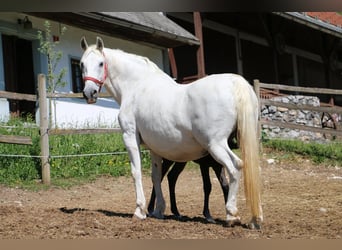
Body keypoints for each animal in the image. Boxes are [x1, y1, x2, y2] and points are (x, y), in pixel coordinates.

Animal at [81, 36, 264, 229]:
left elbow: (136, 172)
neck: (136, 87)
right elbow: (156, 176)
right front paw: (158, 210)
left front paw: (139, 210)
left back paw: (231, 215)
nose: (89, 93)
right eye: (82, 64)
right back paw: (255, 219)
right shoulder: (154, 147)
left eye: (101, 63)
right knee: (252, 170)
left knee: (235, 167)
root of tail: (236, 83)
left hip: (216, 145)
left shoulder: (130, 137)